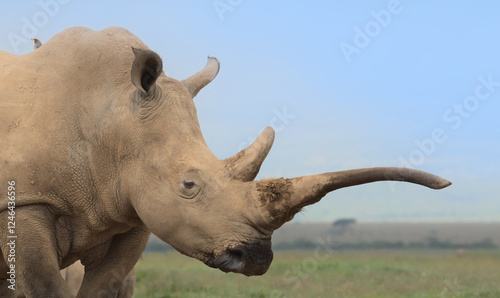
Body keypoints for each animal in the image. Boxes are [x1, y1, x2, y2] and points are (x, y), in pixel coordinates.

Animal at [0, 26, 452, 296]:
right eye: (189, 185)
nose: (254, 258)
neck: (110, 114)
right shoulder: (24, 201)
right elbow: (43, 285)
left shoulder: (128, 205)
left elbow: (107, 283)